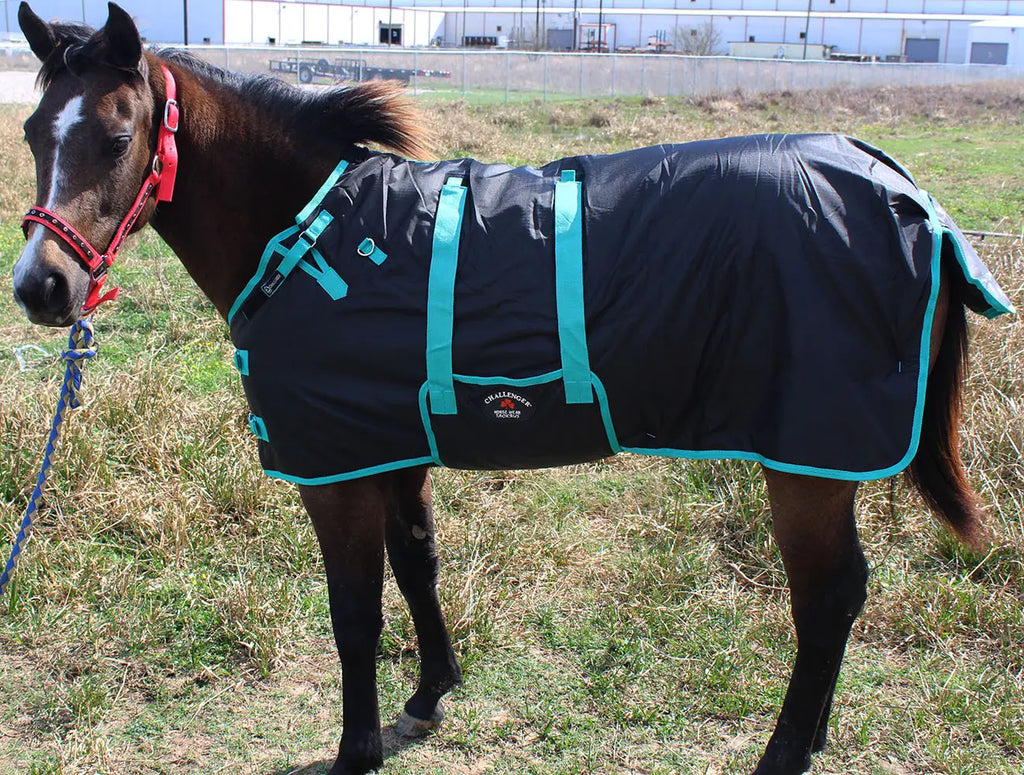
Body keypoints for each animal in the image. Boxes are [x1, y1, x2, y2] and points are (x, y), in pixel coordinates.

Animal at [11, 4, 1014, 774]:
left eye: (116, 136)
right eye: (31, 133)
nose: (40, 287)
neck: (312, 234)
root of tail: (904, 191)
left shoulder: (337, 473)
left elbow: (353, 613)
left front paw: (355, 750)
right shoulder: (392, 447)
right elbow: (417, 565)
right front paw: (428, 693)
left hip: (805, 461)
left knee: (828, 596)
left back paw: (784, 750)